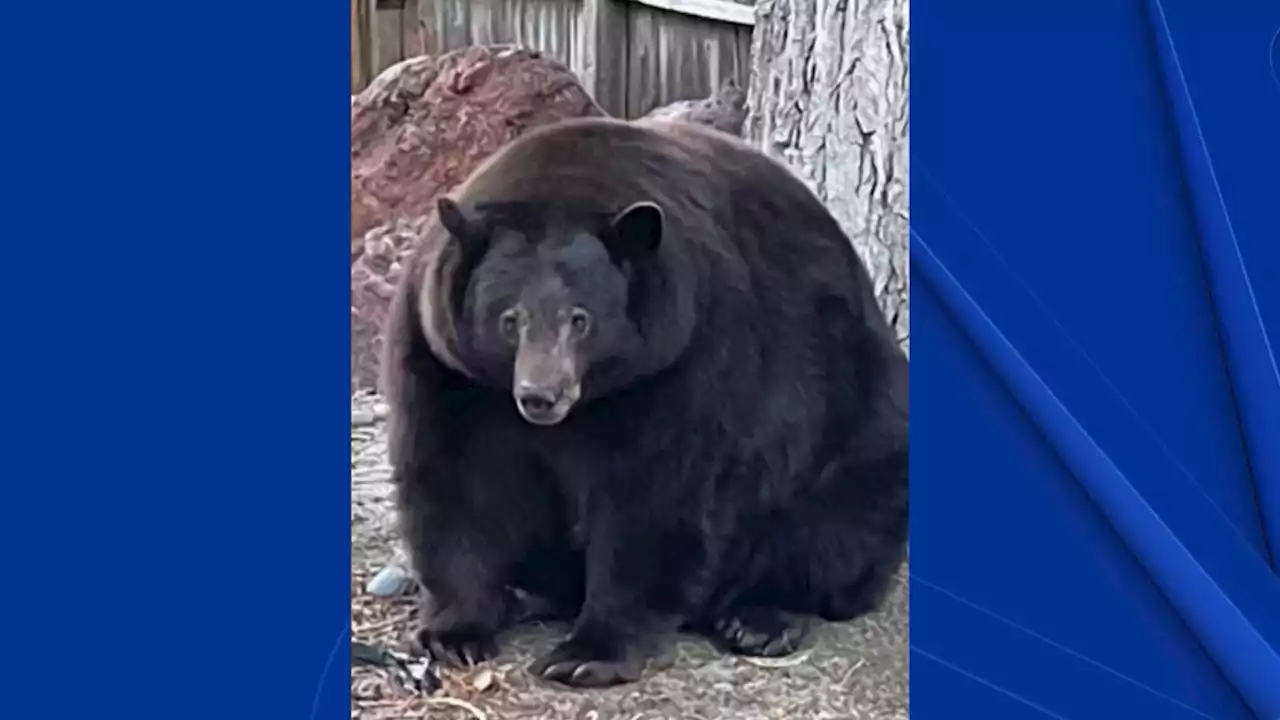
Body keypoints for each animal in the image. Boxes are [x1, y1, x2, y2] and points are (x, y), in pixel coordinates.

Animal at [381, 116, 911, 681]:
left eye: (580, 318)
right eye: (509, 319)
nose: (541, 396)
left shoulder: (688, 354)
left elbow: (655, 493)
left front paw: (588, 653)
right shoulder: (447, 367)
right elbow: (456, 479)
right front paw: (455, 632)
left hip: (855, 419)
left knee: (837, 524)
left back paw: (760, 617)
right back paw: (527, 593)